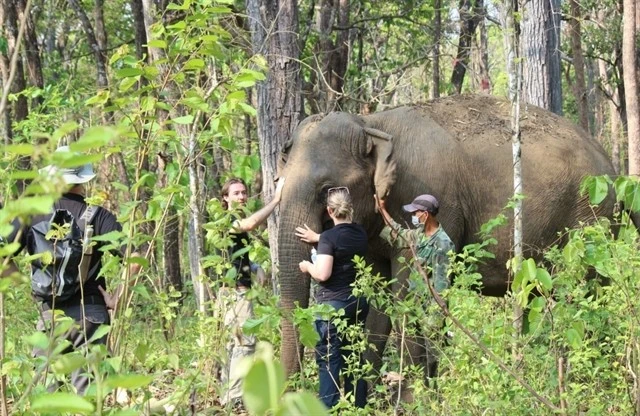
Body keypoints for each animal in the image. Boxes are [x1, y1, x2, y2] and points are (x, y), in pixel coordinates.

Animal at [276, 94, 616, 384]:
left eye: (326, 190)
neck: (371, 123)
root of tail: (611, 165)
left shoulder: (427, 194)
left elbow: (409, 293)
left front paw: (412, 400)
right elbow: (378, 299)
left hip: (589, 220)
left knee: (584, 296)